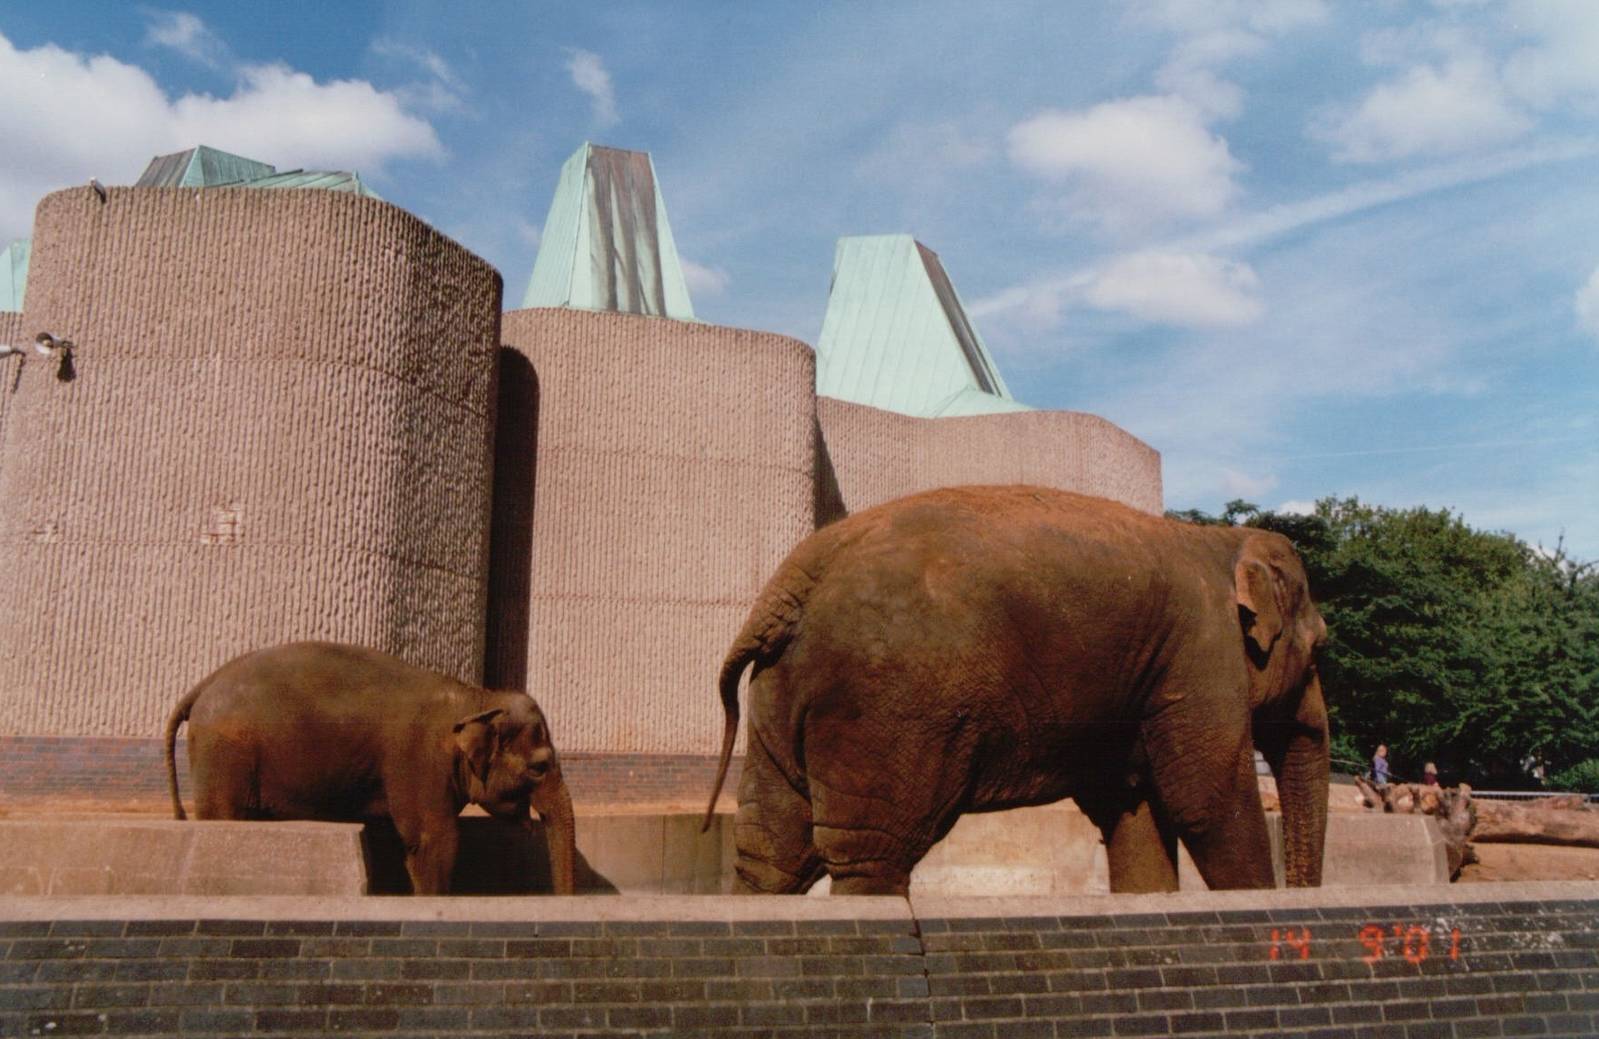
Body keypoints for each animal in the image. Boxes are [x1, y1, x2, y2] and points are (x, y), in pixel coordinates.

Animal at [164, 640, 576, 895]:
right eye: (539, 768)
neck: (475, 698)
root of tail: (202, 685)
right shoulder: (418, 759)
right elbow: (434, 841)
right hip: (225, 752)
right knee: (224, 816)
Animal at [703, 485, 1329, 896]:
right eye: (1321, 647)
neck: (1221, 540)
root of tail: (793, 582)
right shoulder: (1202, 654)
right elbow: (1206, 802)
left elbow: (1133, 812)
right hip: (885, 709)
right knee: (872, 851)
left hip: (783, 695)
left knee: (772, 850)